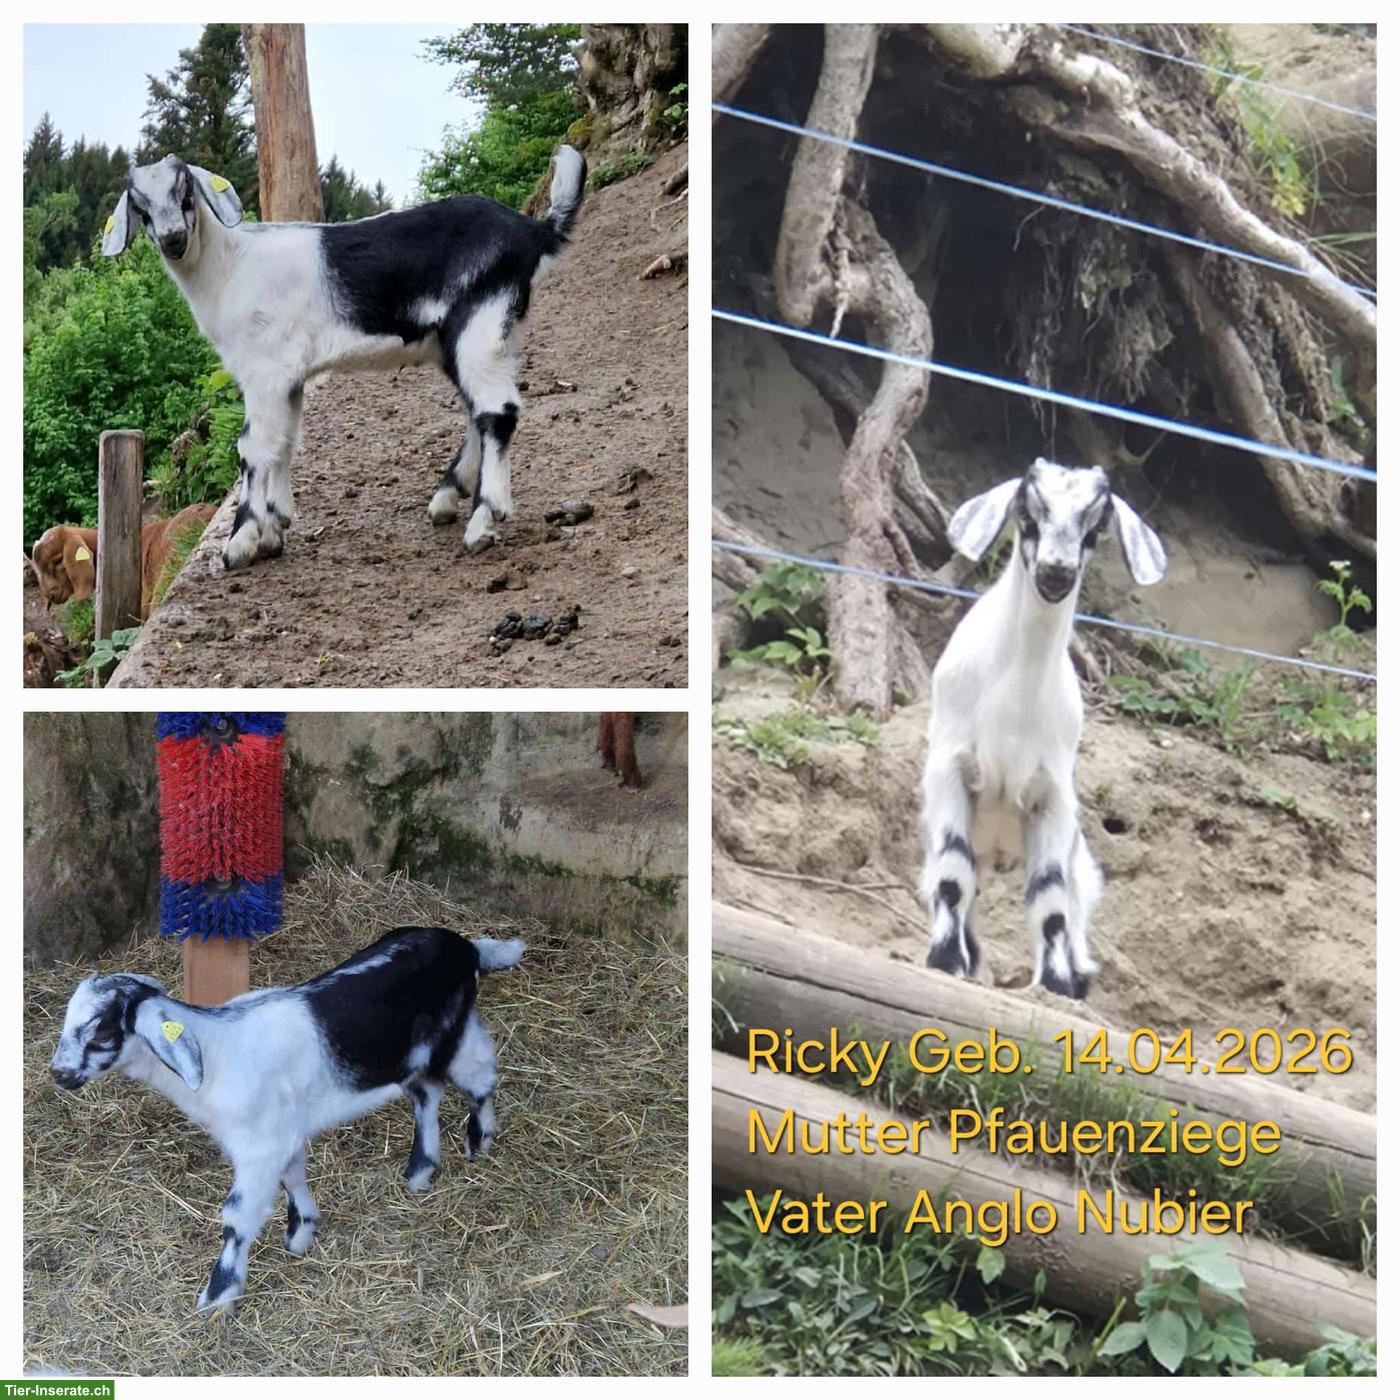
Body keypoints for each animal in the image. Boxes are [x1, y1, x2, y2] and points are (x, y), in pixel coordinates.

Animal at [49, 926, 524, 1314]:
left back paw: (480, 1140)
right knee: (427, 1093)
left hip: (457, 1035)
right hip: (412, 1058)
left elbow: (237, 1217)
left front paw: (218, 1297)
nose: (59, 1074)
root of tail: (465, 945)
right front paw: (302, 1232)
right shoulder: (281, 1134)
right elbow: (293, 1176)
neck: (217, 1052)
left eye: (102, 1032)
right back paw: (420, 1171)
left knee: (480, 1078)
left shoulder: (259, 1148)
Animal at [100, 149, 587, 570]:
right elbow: (284, 442)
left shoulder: (264, 371)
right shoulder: (287, 377)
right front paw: (275, 528)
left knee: (497, 410)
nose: (173, 240)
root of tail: (533, 230)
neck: (231, 267)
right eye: (140, 207)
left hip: (479, 320)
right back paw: (448, 498)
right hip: (481, 335)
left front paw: (240, 542)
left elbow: (252, 448)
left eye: (185, 192)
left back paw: (485, 520)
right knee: (479, 410)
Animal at [921, 459, 1167, 999]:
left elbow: (1049, 899)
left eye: (1095, 528)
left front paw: (1054, 985)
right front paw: (945, 961)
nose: (1057, 571)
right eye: (1028, 517)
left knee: (1072, 907)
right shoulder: (948, 767)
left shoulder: (1054, 795)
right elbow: (952, 872)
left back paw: (1077, 976)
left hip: (1080, 862)